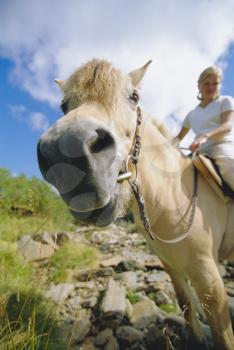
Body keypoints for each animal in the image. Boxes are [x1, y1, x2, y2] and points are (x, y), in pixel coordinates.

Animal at [36, 58, 234, 348]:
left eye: (134, 97)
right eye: (64, 105)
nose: (67, 153)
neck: (175, 195)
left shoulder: (208, 276)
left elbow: (222, 333)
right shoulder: (171, 265)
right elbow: (186, 305)